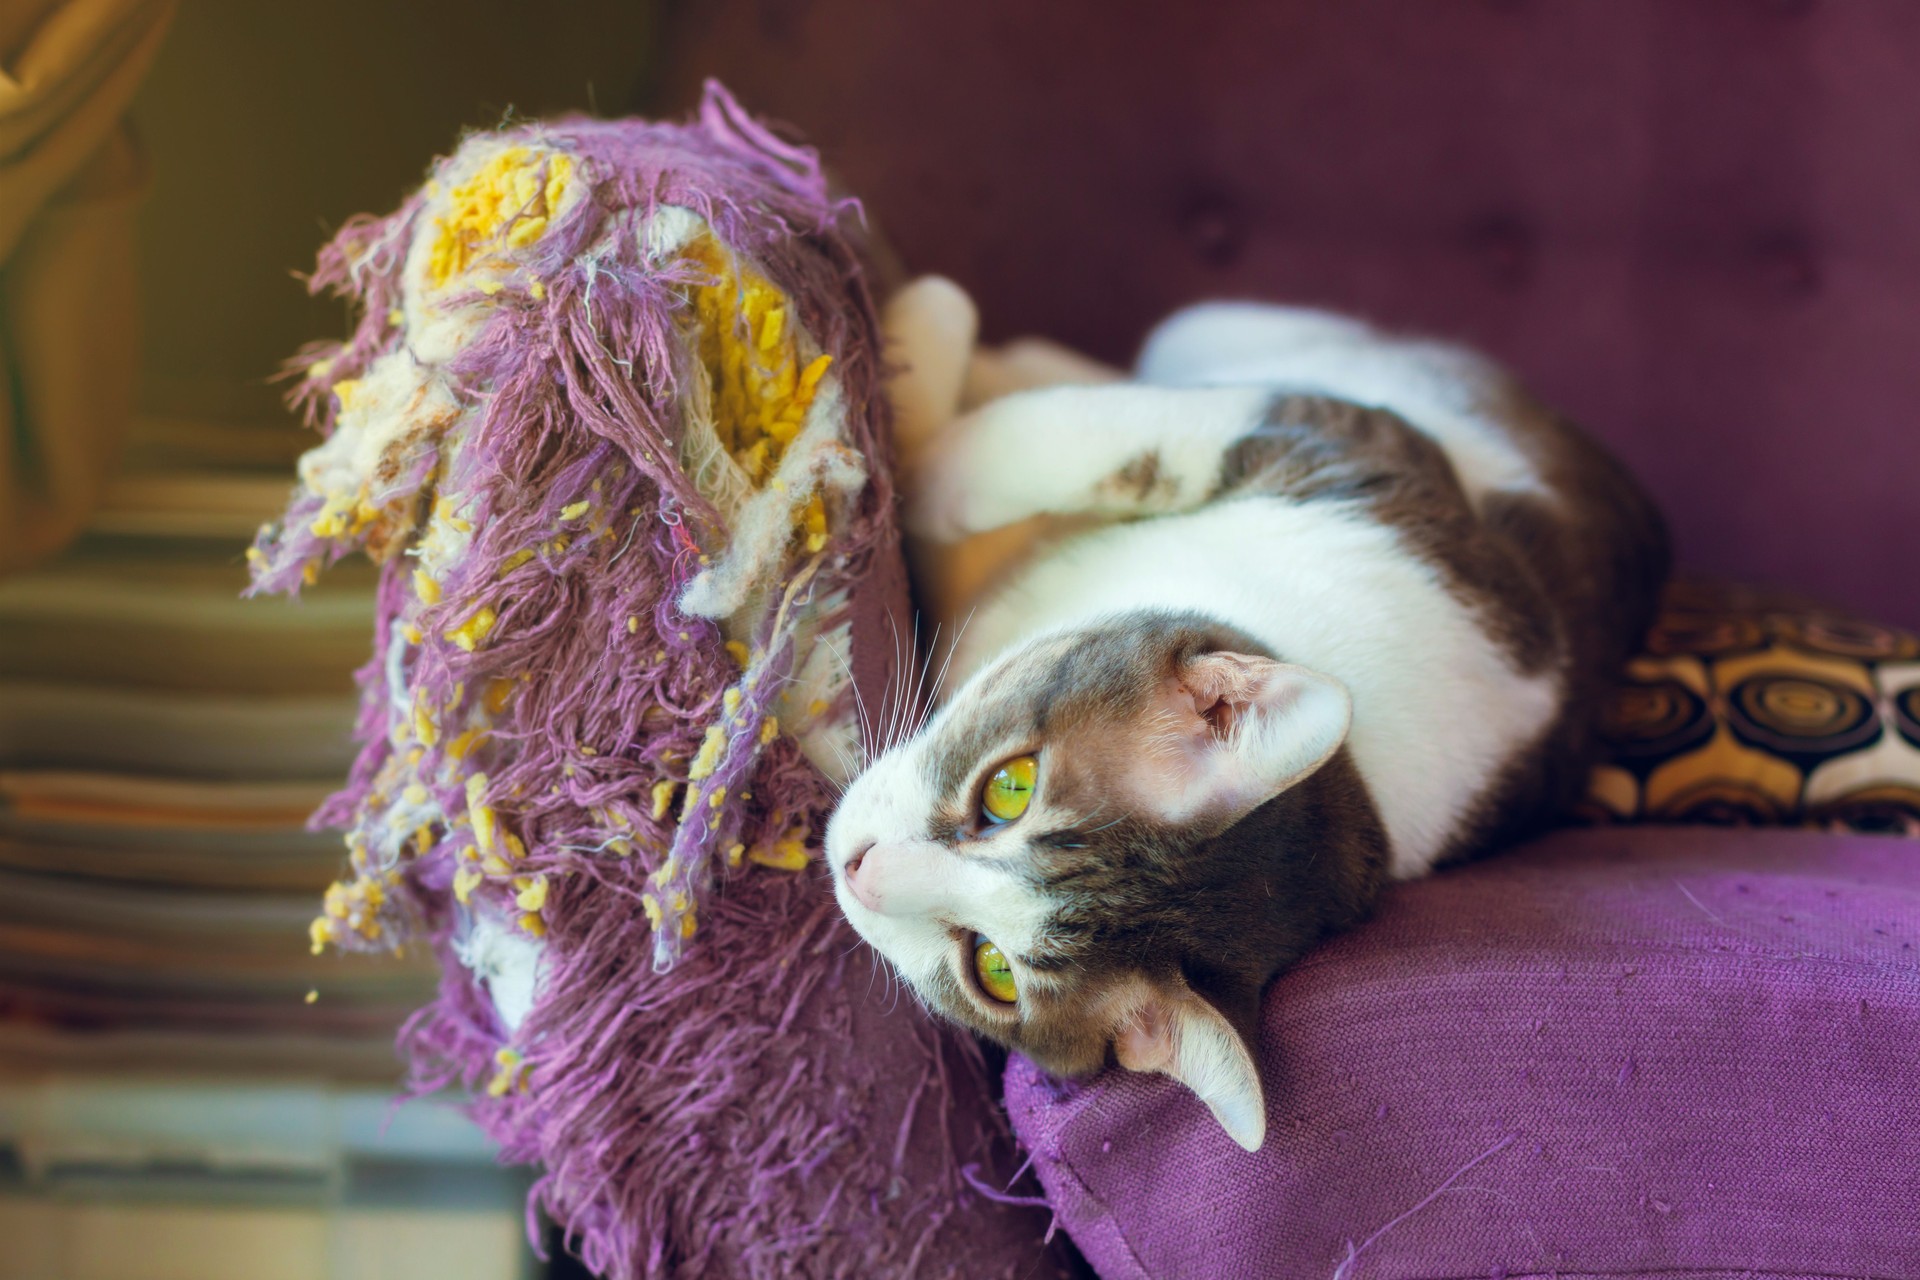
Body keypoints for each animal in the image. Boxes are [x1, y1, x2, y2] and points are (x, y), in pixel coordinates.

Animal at [825, 297, 1666, 1151]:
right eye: (1010, 788)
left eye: (992, 969)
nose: (859, 869)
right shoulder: (1347, 440)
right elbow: (1105, 445)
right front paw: (924, 386)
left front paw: (911, 434)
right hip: (1228, 329)